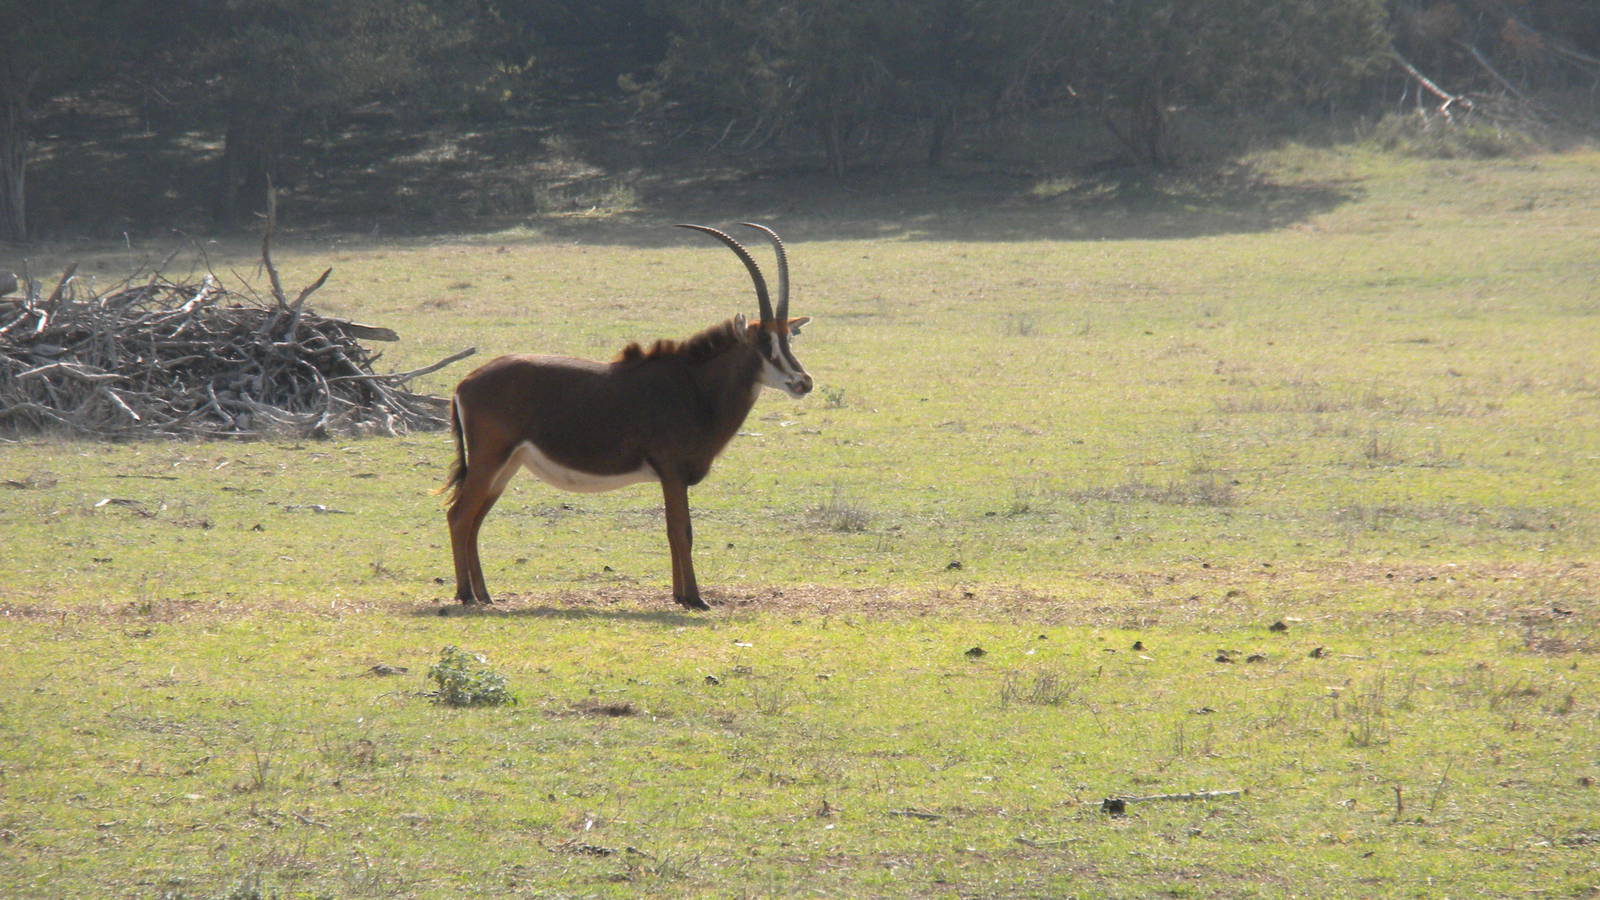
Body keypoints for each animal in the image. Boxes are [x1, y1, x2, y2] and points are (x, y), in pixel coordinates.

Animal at [441, 223, 813, 609]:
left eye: (788, 338)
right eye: (763, 342)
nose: (803, 382)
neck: (695, 385)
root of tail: (464, 382)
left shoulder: (671, 476)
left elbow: (674, 531)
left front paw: (679, 594)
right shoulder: (672, 472)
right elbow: (681, 530)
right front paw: (694, 598)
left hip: (506, 465)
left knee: (475, 519)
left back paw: (484, 594)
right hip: (490, 459)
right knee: (459, 514)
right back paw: (465, 594)